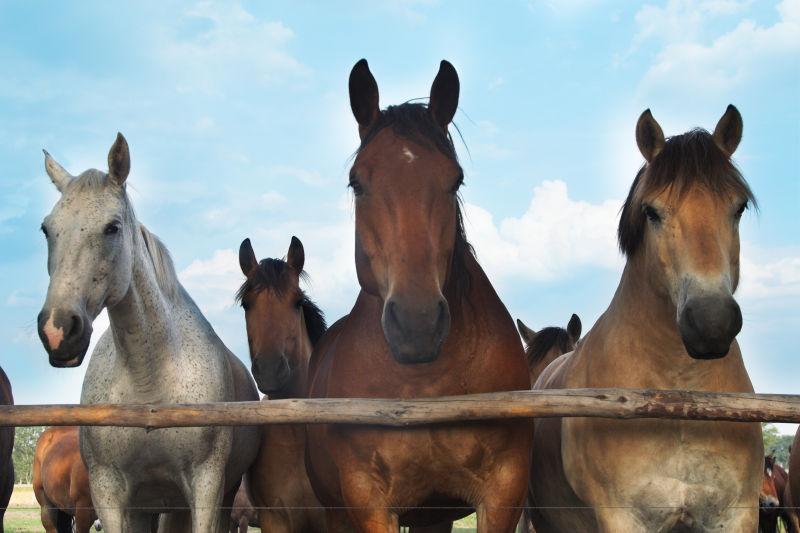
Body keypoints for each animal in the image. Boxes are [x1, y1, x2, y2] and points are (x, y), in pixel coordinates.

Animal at [37, 134, 258, 532]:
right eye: (47, 228)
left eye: (112, 227)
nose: (57, 330)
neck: (149, 382)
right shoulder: (109, 493)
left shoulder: (206, 488)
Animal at [304, 59, 532, 532]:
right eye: (356, 183)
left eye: (455, 180)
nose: (417, 324)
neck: (423, 386)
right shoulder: (367, 499)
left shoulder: (504, 490)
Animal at [532, 105, 764, 532]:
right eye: (651, 212)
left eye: (738, 208)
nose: (711, 322)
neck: (677, 400)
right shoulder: (622, 517)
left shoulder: (736, 514)